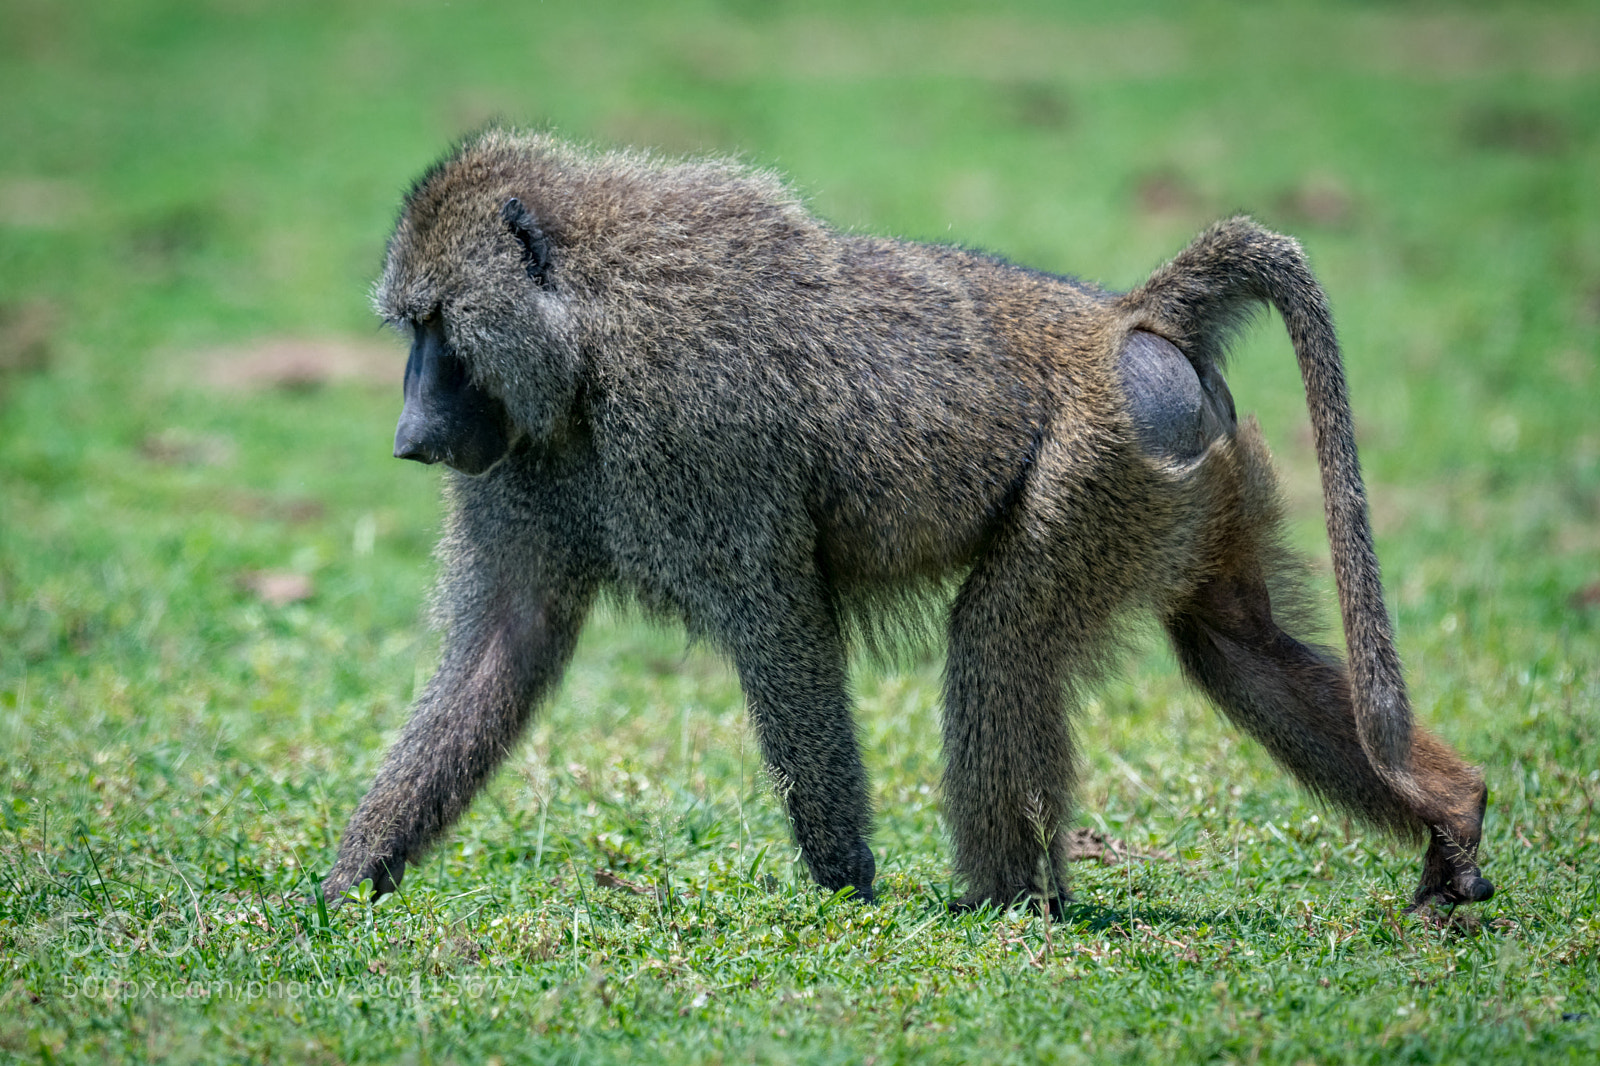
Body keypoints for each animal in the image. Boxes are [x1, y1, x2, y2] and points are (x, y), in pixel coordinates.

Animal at [321, 128, 1493, 916]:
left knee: (1001, 641)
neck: (589, 330)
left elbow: (780, 628)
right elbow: (506, 642)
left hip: (1100, 463)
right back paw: (1452, 814)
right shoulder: (521, 460)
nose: (409, 437)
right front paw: (347, 884)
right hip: (1191, 477)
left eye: (436, 328)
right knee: (1235, 644)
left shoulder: (697, 427)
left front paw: (845, 884)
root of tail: (1130, 314)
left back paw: (1007, 903)